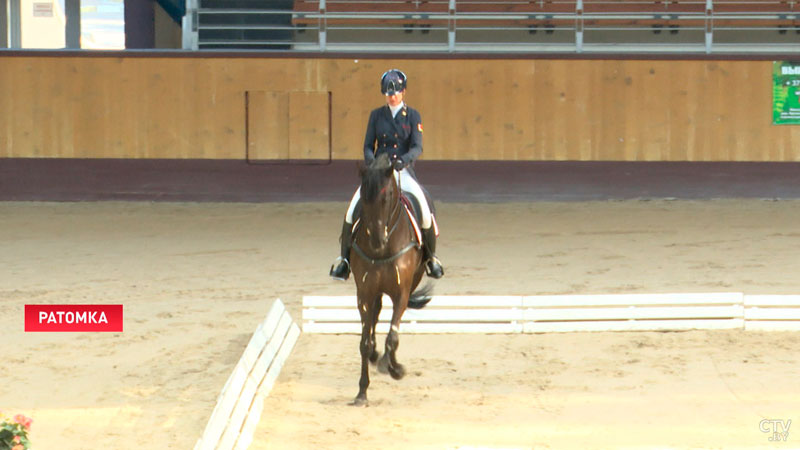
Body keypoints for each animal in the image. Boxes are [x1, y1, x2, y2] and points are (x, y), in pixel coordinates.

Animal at [350, 153, 434, 406]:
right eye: (363, 197)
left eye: (387, 196)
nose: (377, 242)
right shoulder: (364, 293)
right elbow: (364, 343)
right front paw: (362, 392)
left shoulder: (401, 292)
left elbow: (393, 337)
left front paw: (395, 368)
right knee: (376, 316)